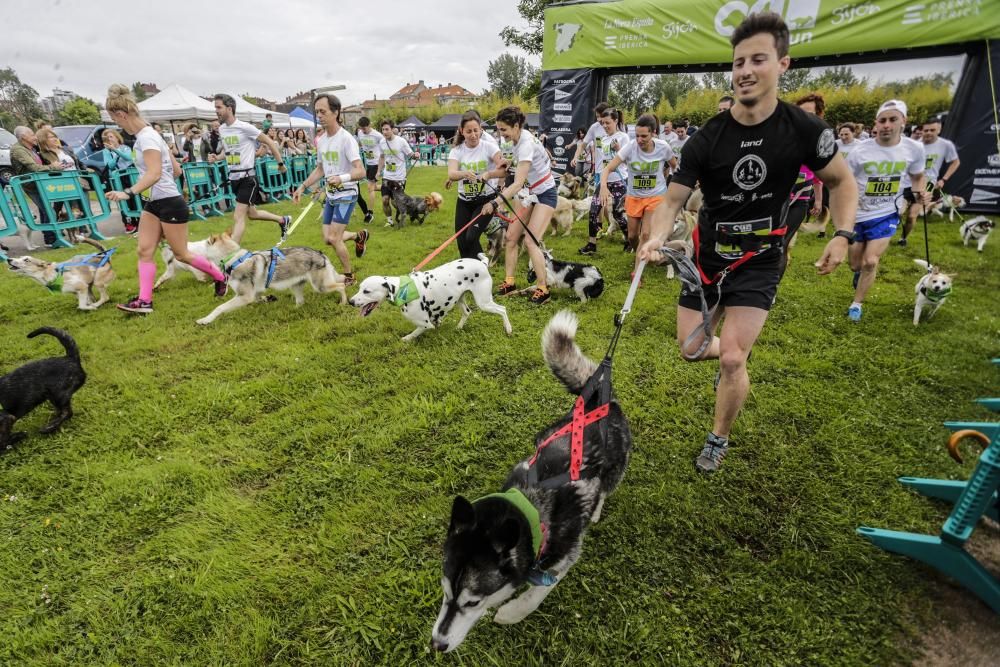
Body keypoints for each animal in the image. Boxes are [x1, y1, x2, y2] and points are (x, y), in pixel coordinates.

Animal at [195, 232, 348, 326]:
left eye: (204, 244)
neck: (234, 259)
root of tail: (321, 254)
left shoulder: (245, 296)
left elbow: (219, 307)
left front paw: (205, 320)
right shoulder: (254, 294)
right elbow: (259, 298)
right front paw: (269, 299)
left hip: (320, 287)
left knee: (341, 286)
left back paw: (343, 303)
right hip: (296, 286)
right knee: (301, 302)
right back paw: (292, 310)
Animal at [348, 253, 512, 342]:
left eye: (367, 291)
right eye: (359, 288)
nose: (350, 301)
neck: (403, 289)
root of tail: (483, 263)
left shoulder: (425, 324)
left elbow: (415, 333)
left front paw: (406, 339)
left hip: (484, 302)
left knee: (502, 309)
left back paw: (508, 328)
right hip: (460, 300)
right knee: (467, 312)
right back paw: (458, 328)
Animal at [430, 314, 632, 652]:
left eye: (473, 602)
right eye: (445, 592)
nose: (437, 644)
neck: (533, 505)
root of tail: (601, 402)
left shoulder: (565, 555)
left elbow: (536, 593)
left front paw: (511, 612)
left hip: (617, 465)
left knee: (606, 488)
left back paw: (597, 509)